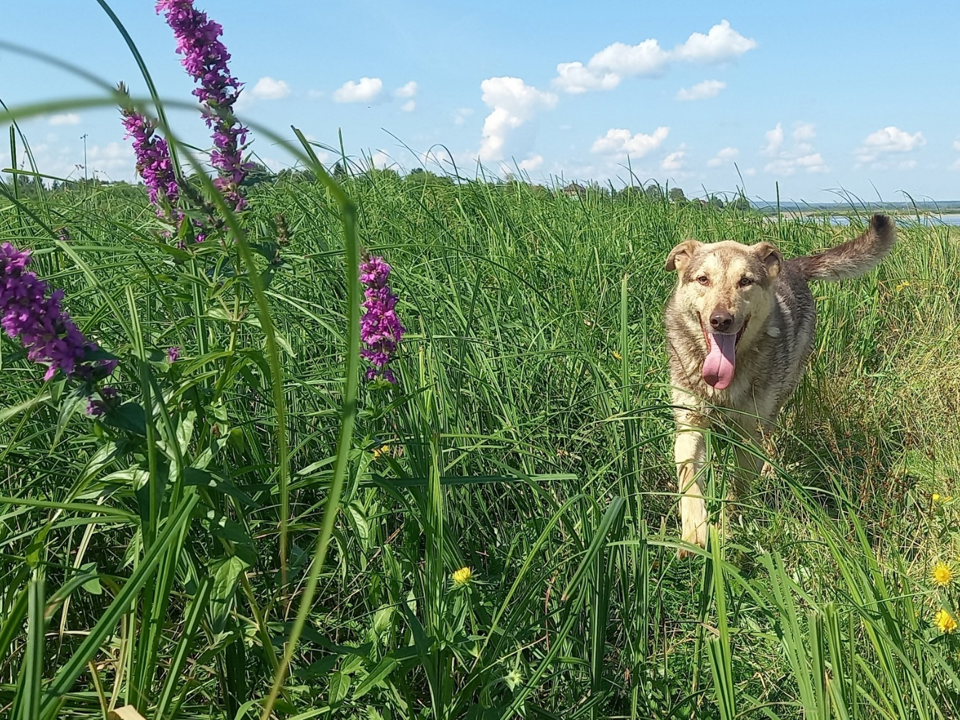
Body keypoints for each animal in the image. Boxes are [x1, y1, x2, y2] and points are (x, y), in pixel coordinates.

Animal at [664, 214, 896, 552]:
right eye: (703, 280)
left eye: (745, 281)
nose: (720, 320)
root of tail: (792, 266)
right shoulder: (690, 422)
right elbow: (689, 479)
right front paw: (695, 533)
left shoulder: (750, 432)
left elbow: (739, 487)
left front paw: (726, 529)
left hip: (780, 394)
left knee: (771, 435)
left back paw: (770, 471)